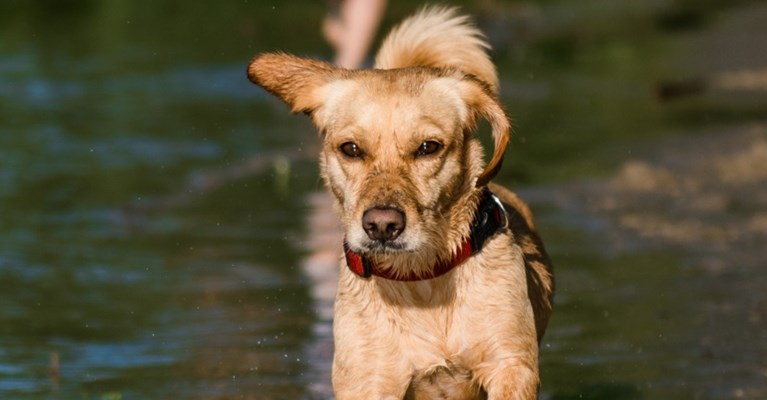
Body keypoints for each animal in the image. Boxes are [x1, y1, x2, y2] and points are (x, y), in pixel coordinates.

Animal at [249, 6, 556, 400]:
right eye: (350, 148)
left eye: (428, 147)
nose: (382, 224)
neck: (420, 280)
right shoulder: (370, 382)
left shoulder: (511, 366)